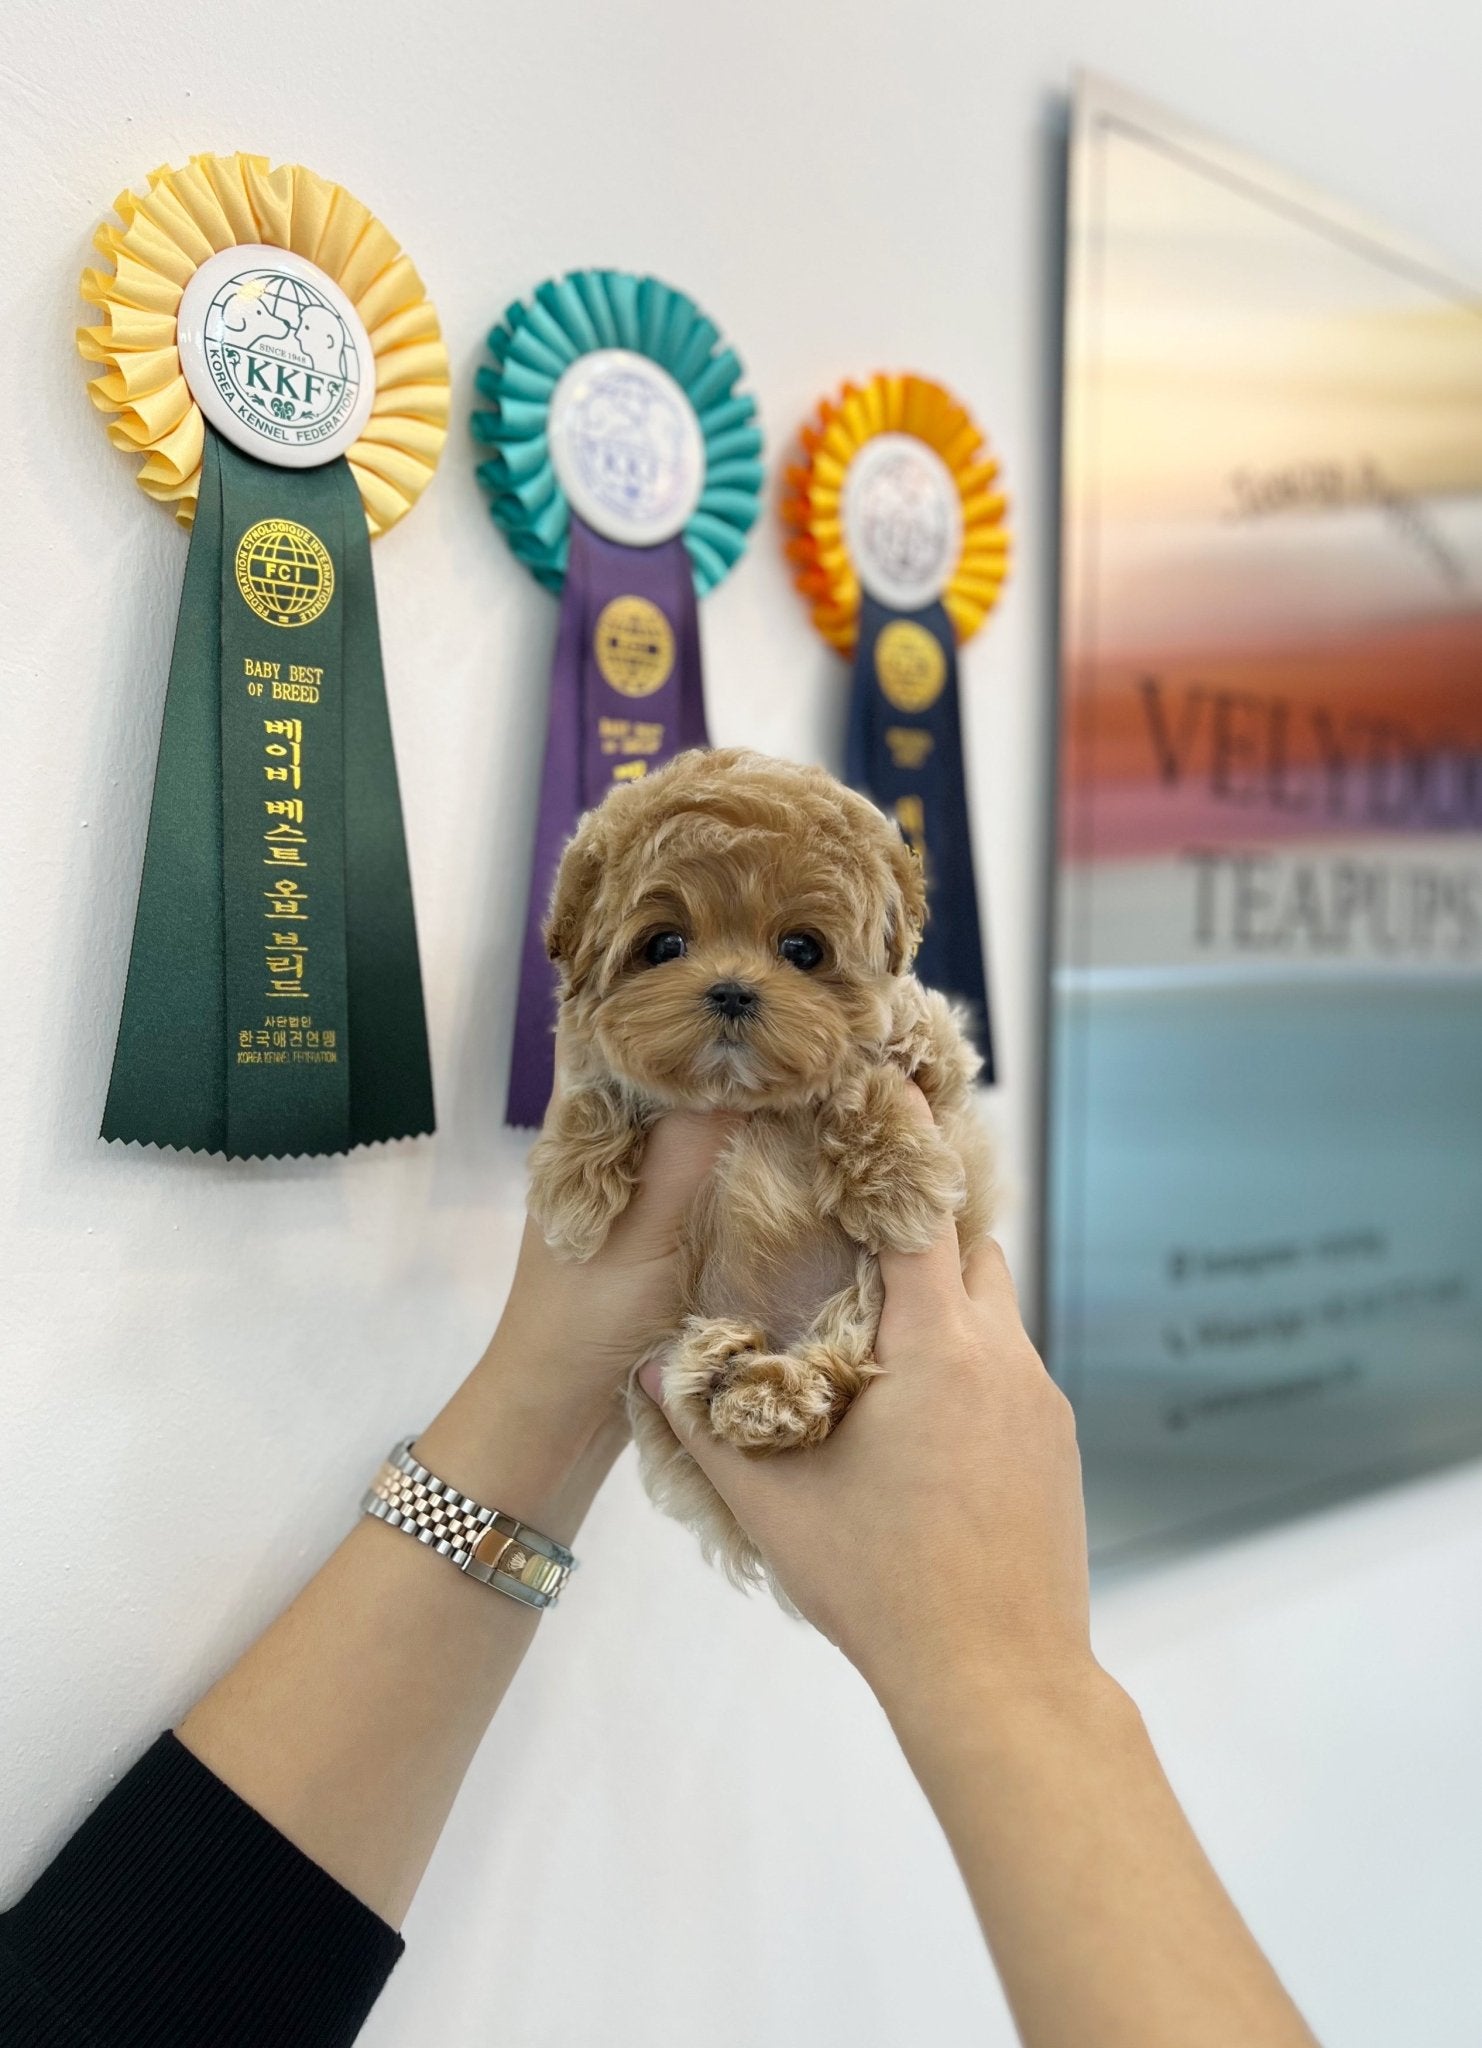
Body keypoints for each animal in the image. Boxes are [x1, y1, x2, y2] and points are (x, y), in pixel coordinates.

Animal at [524, 745, 994, 1589]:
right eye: (664, 946)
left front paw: (897, 1180)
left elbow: (877, 1070)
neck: (744, 1100)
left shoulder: (938, 1064)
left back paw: (770, 1395)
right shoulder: (592, 1058)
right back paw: (727, 1371)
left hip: (863, 1308)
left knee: (838, 1370)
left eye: (802, 950)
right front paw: (574, 1185)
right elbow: (595, 1086)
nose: (733, 991)